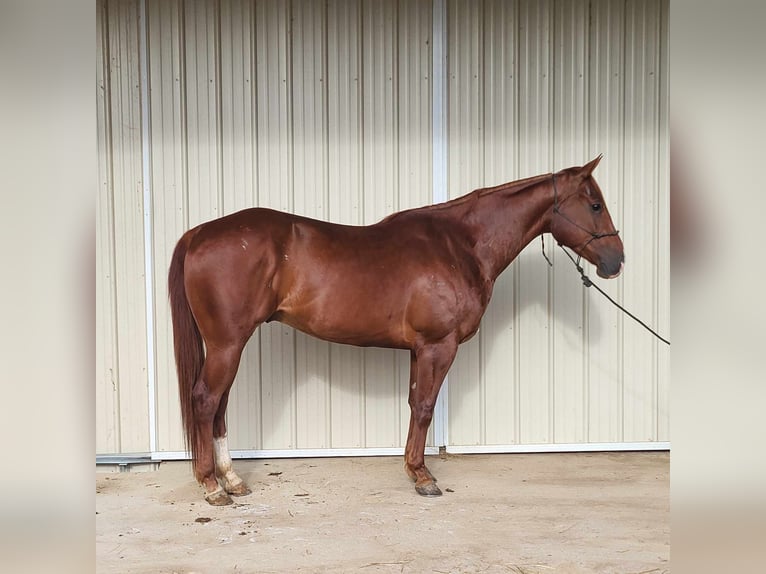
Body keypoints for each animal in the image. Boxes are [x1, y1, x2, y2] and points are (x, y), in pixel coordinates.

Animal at [168, 155, 624, 506]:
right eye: (595, 204)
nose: (616, 260)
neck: (460, 244)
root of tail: (199, 233)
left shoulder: (418, 349)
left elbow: (413, 404)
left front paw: (413, 468)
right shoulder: (439, 346)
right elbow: (424, 407)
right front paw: (423, 477)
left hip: (229, 345)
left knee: (220, 406)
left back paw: (232, 481)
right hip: (227, 344)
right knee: (206, 401)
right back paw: (212, 487)